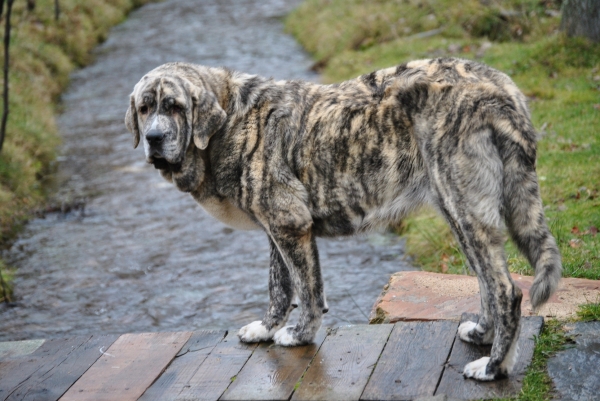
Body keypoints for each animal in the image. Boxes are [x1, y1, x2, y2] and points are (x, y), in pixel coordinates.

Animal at [125, 57, 564, 380]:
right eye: (145, 108)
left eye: (175, 107)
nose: (154, 138)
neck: (232, 119)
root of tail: (499, 87)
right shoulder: (276, 229)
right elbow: (279, 286)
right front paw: (267, 328)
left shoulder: (289, 224)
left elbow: (307, 290)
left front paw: (299, 335)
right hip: (459, 213)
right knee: (487, 283)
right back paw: (483, 335)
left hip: (466, 209)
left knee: (507, 291)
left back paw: (493, 367)